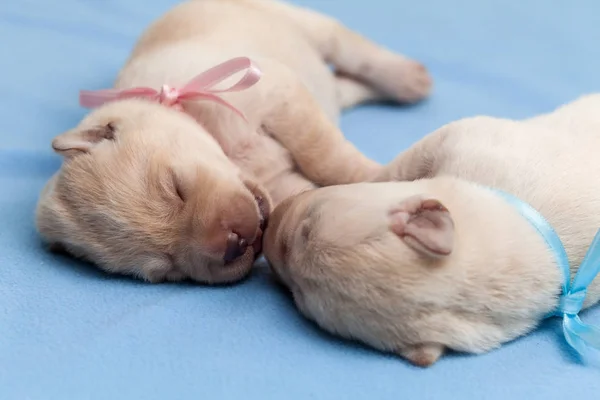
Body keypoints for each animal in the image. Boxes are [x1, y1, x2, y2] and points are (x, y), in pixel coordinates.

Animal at [34, 0, 432, 284]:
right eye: (168, 269)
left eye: (176, 188)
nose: (233, 245)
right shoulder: (281, 185)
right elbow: (310, 194)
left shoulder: (278, 94)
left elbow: (326, 156)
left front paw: (381, 177)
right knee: (342, 86)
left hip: (295, 22)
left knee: (348, 47)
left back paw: (408, 78)